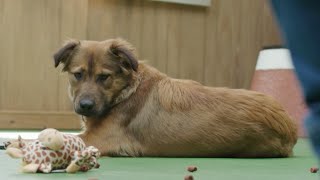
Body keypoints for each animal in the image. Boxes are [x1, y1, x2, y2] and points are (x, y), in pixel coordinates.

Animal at [50, 38, 298, 158]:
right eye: (78, 75)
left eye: (104, 77)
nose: (85, 106)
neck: (125, 91)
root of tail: (289, 125)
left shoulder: (96, 139)